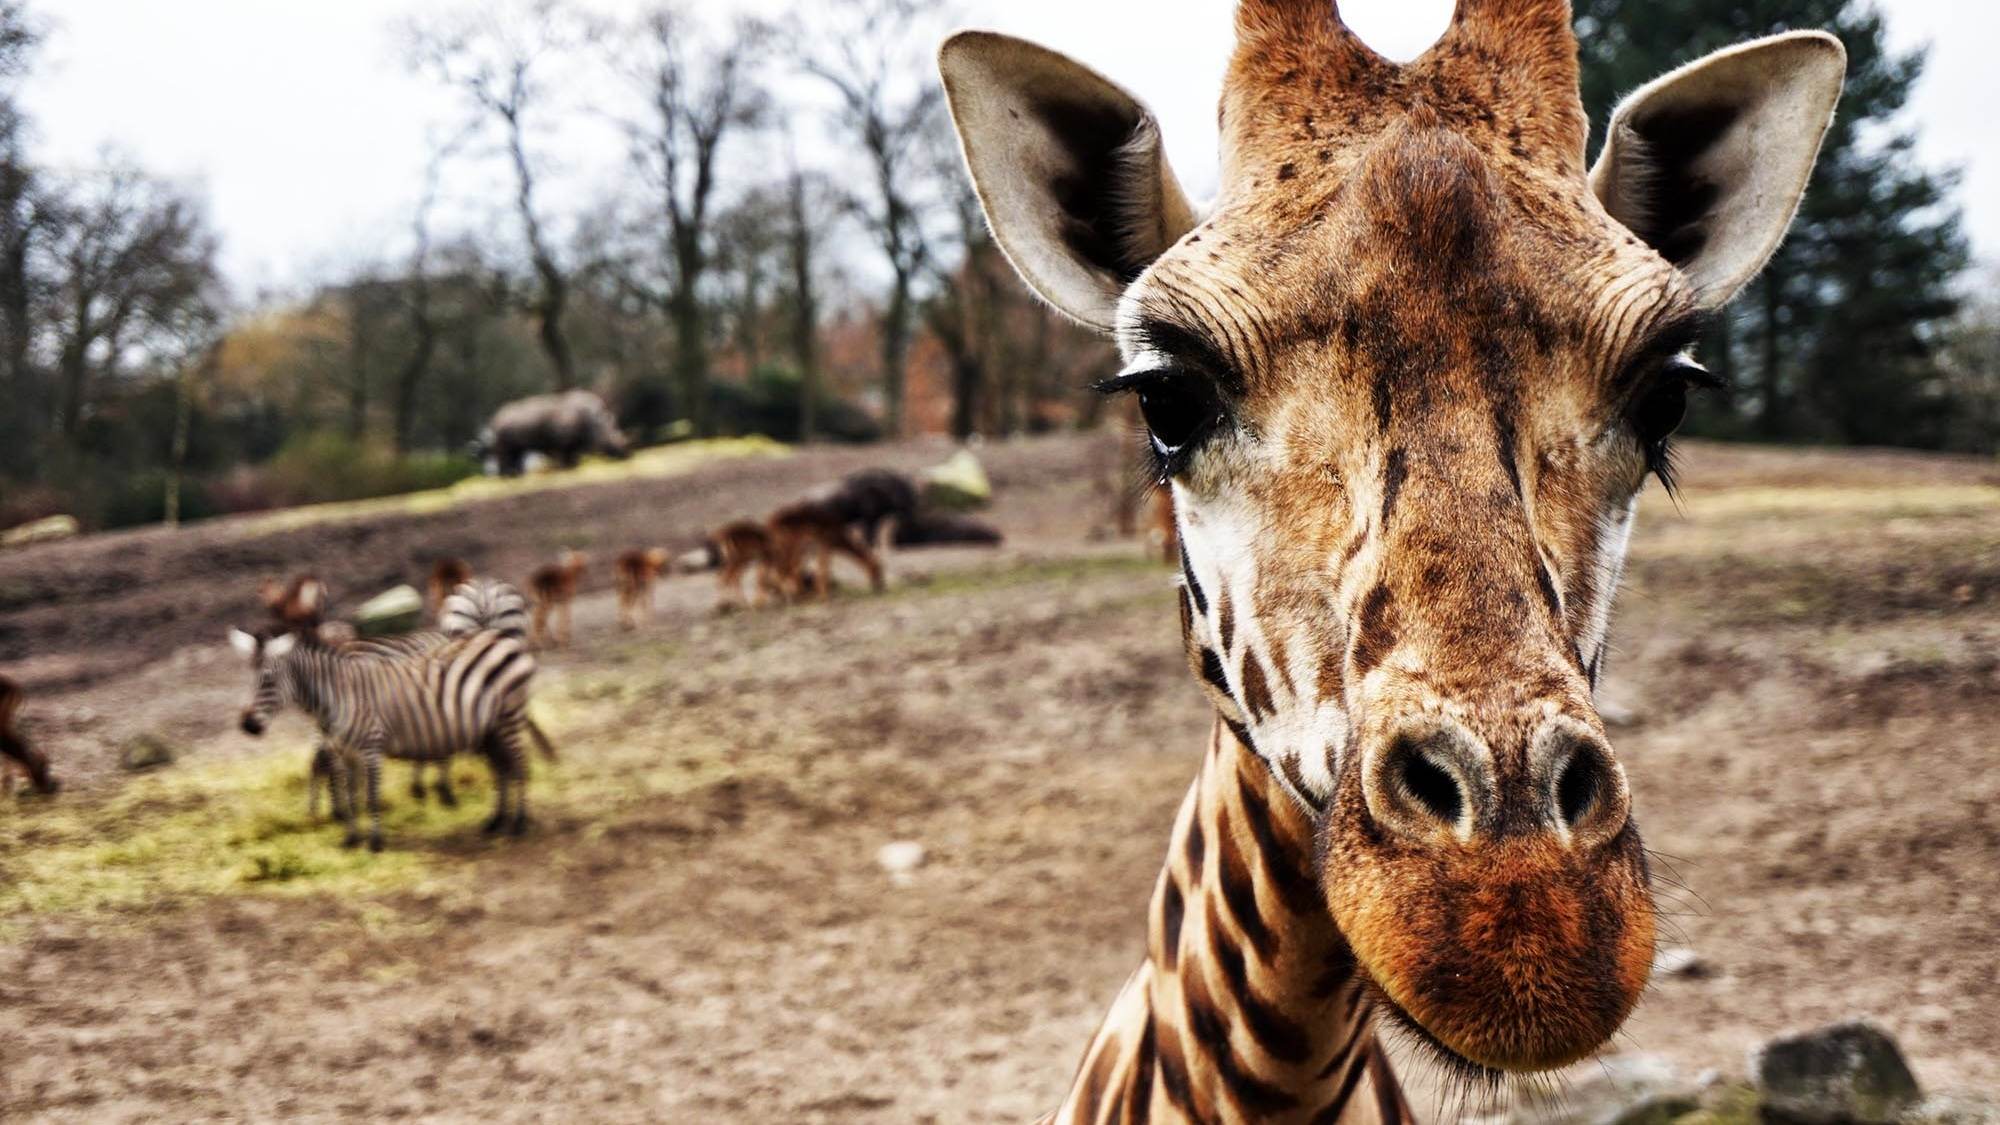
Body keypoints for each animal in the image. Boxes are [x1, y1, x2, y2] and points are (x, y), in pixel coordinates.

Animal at [232, 620, 540, 848]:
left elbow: (370, 797)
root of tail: (501, 636)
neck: (339, 695)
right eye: (251, 681)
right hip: (491, 728)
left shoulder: (371, 748)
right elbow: (352, 796)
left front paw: (376, 842)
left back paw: (520, 823)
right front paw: (351, 839)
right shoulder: (347, 753)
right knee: (502, 768)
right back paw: (496, 821)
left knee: (520, 765)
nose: (248, 726)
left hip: (508, 717)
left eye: (268, 679)